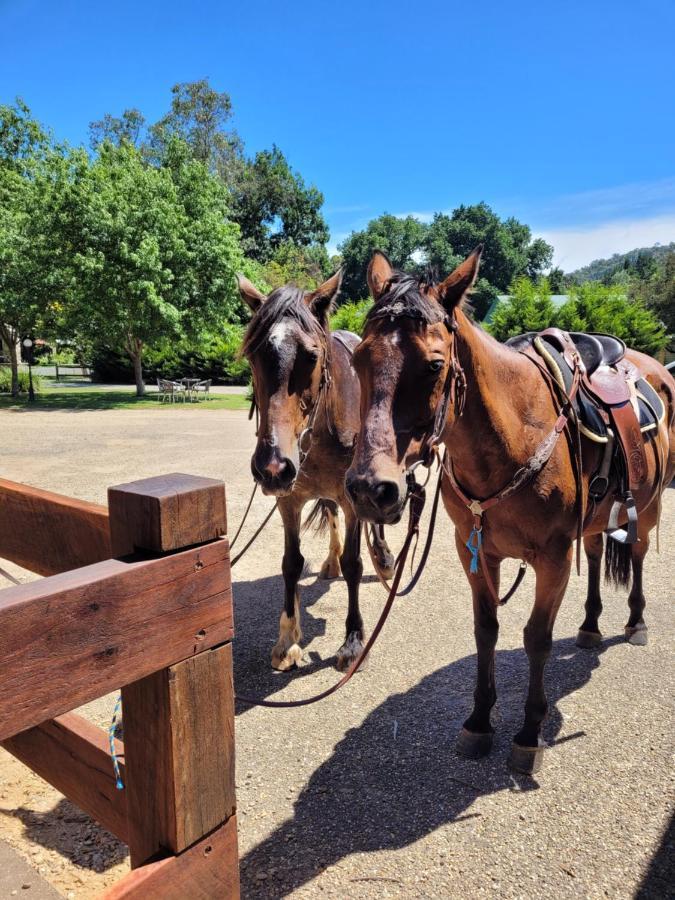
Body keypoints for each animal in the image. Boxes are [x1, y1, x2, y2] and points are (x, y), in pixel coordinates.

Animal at [239, 270, 394, 672]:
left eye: (311, 356)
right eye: (253, 354)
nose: (272, 466)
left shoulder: (354, 498)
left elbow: (354, 563)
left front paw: (353, 641)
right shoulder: (289, 499)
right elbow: (291, 564)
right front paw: (288, 640)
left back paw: (384, 559)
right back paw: (330, 560)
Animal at [346, 248, 672, 772]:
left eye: (435, 365)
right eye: (358, 358)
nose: (368, 489)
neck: (511, 438)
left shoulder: (554, 558)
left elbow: (536, 637)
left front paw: (529, 731)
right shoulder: (474, 551)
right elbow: (486, 630)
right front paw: (480, 720)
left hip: (650, 502)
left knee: (638, 553)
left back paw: (635, 622)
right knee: (597, 552)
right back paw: (590, 625)